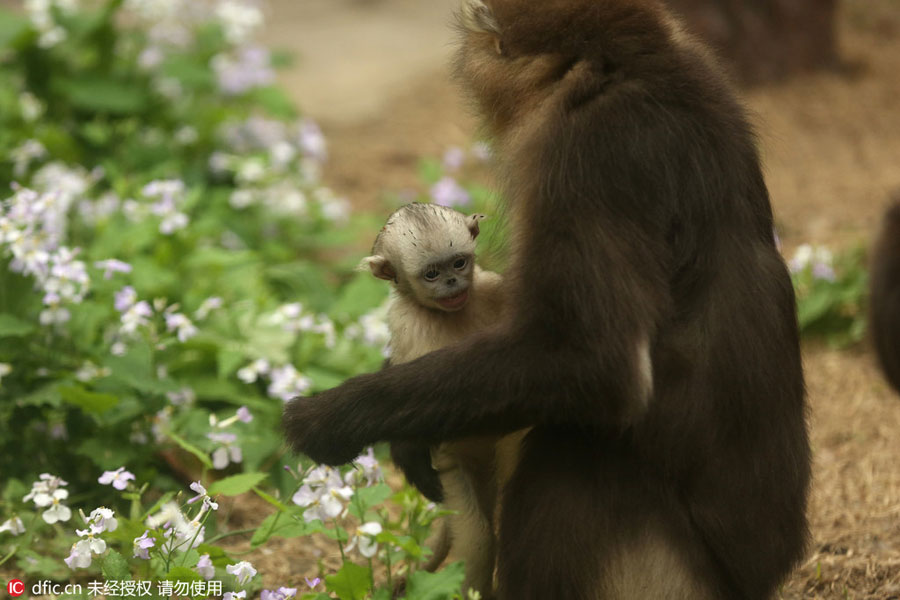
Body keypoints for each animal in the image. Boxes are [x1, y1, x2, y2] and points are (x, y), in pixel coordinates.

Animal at [358, 204, 512, 596]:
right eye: (431, 274)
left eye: (458, 263)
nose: (452, 283)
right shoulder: (406, 323)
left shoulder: (492, 286)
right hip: (454, 469)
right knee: (477, 541)